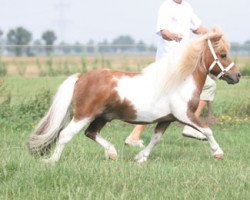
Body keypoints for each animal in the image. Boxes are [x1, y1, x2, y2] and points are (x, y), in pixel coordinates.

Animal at [27, 28, 240, 163]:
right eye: (222, 54)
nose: (237, 75)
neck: (179, 81)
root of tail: (81, 77)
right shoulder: (185, 115)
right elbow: (207, 130)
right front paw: (218, 153)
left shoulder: (167, 119)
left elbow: (156, 139)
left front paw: (141, 158)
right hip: (83, 115)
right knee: (65, 135)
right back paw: (52, 161)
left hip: (103, 117)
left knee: (91, 133)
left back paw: (112, 153)